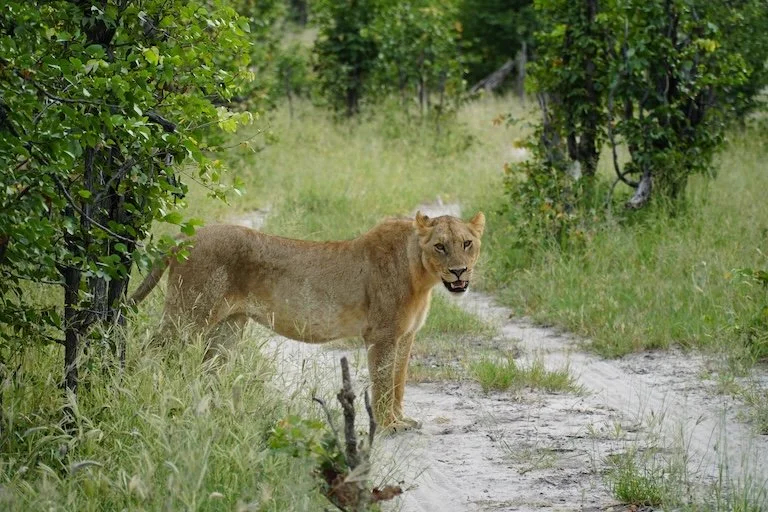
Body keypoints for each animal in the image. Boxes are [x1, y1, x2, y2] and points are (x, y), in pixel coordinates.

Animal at [130, 211, 485, 431]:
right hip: (188, 315)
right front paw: (389, 425)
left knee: (208, 369)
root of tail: (187, 234)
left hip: (227, 327)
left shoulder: (406, 335)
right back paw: (145, 397)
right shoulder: (382, 335)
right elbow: (384, 383)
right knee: (150, 352)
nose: (459, 272)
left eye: (467, 243)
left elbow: (399, 382)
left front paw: (402, 420)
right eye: (440, 246)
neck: (421, 275)